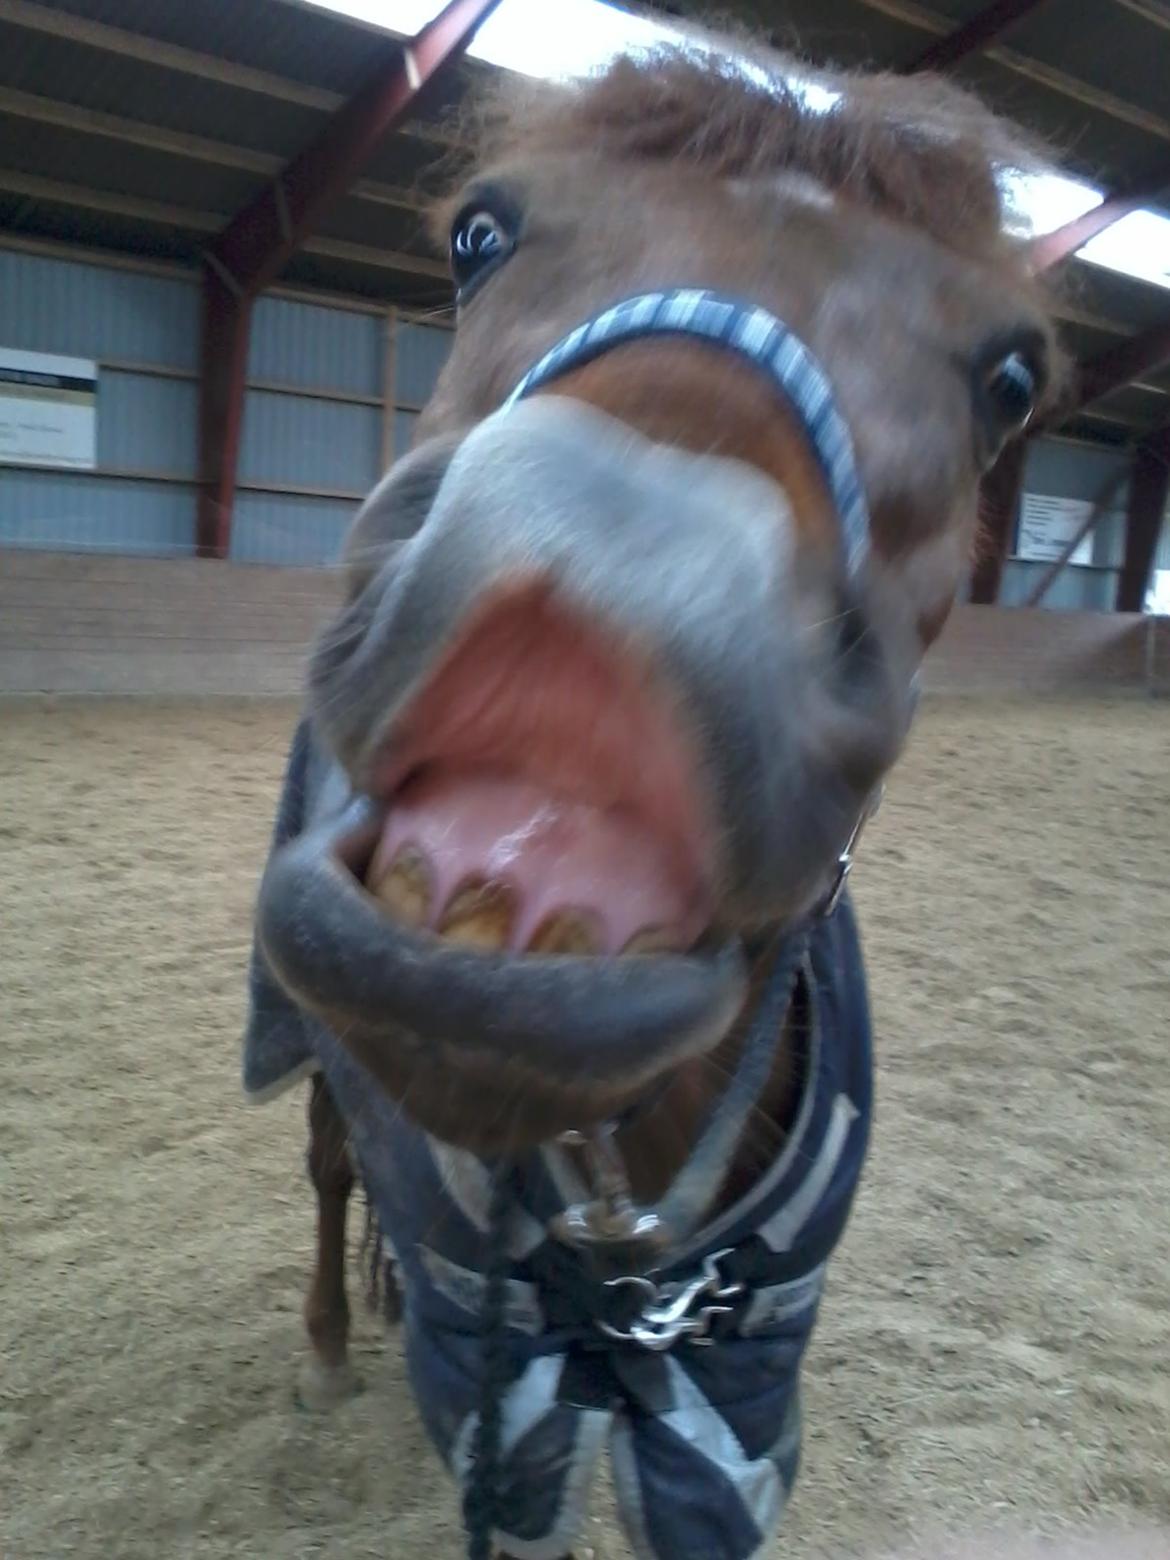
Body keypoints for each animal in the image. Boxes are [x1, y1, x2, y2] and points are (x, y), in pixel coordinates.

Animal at [243, 31, 1094, 1560]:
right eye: (477, 235)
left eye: (1007, 378)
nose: (619, 537)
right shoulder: (504, 1387)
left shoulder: (734, 1391)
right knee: (333, 1167)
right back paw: (334, 1342)